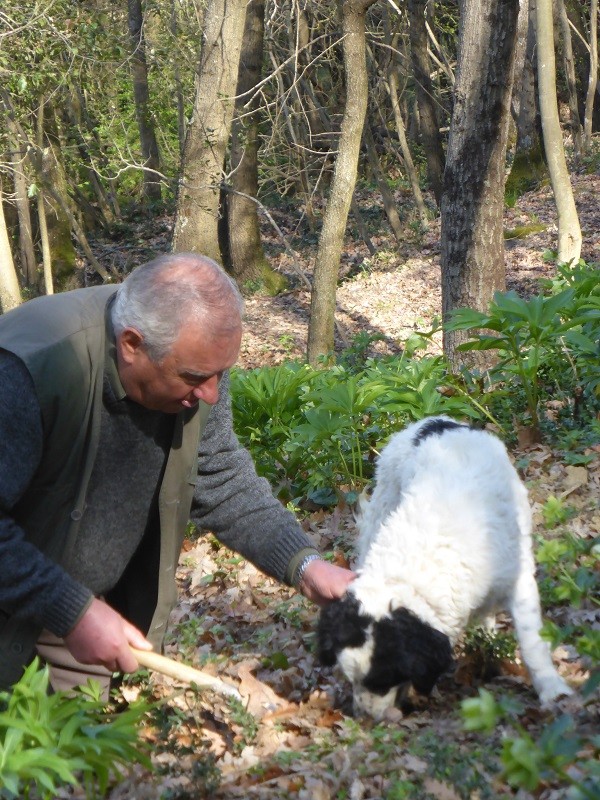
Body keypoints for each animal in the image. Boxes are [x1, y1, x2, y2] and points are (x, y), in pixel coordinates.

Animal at [316, 416, 576, 716]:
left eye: (383, 680)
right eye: (351, 679)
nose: (362, 717)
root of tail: (433, 421)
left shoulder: (518, 579)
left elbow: (532, 642)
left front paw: (552, 689)